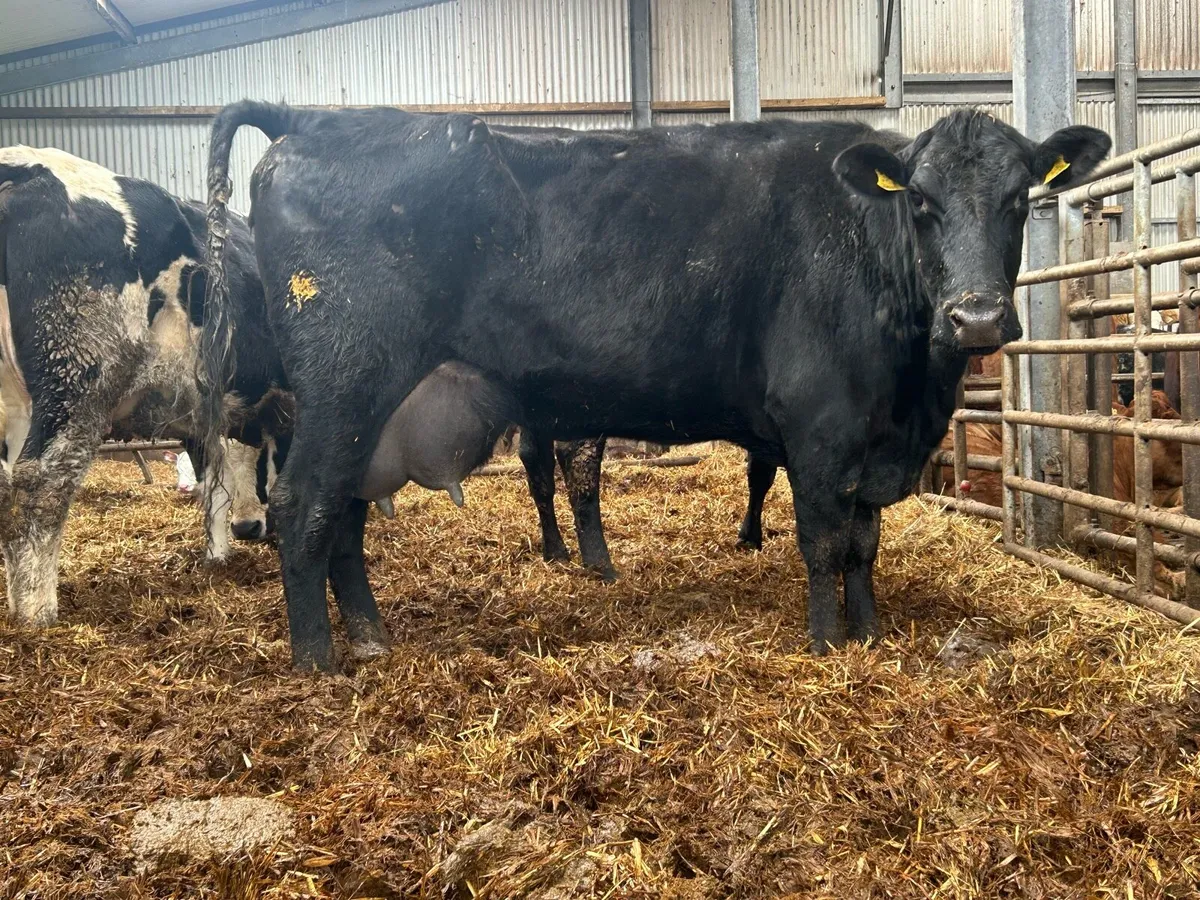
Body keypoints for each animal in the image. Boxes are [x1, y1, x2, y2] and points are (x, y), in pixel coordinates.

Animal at [0, 146, 289, 627]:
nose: (249, 528)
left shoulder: (205, 419)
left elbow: (213, 488)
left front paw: (217, 558)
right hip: (77, 388)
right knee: (40, 487)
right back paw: (37, 612)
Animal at [202, 103, 1109, 671]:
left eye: (1020, 198)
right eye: (919, 201)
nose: (978, 318)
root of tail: (316, 120)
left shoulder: (869, 441)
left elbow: (863, 544)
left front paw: (872, 634)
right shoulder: (820, 426)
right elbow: (822, 542)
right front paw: (826, 644)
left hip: (363, 406)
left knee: (344, 511)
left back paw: (368, 637)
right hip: (344, 384)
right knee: (303, 506)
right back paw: (318, 661)